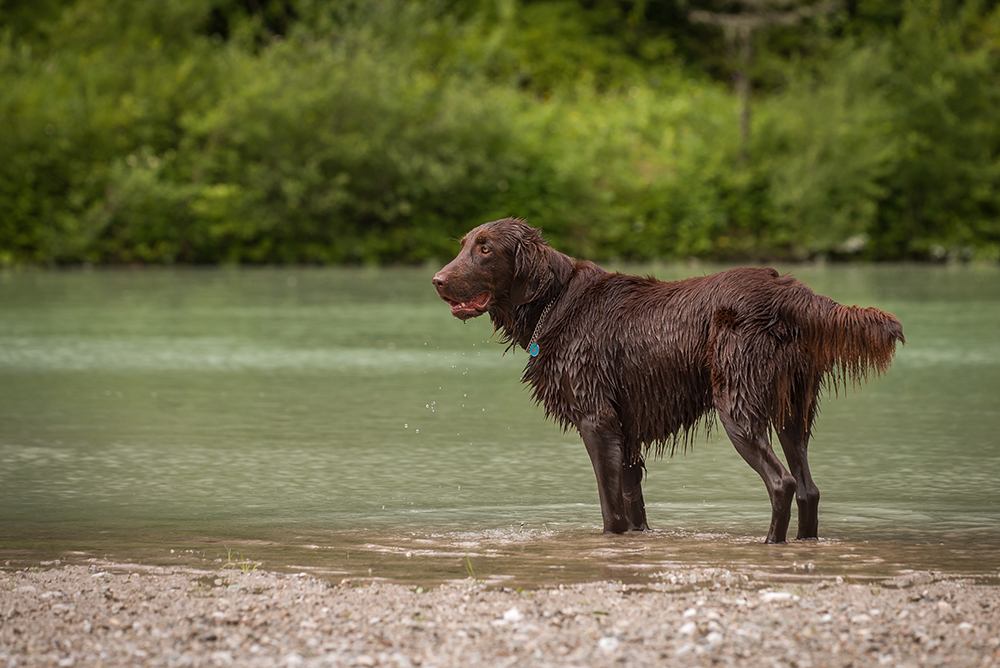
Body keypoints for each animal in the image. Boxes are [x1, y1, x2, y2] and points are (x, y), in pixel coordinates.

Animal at [434, 219, 904, 544]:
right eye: (464, 246)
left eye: (486, 249)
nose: (437, 281)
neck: (554, 301)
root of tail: (790, 291)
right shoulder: (626, 434)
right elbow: (633, 508)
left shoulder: (597, 422)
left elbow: (611, 512)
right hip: (793, 410)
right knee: (808, 489)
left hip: (738, 404)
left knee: (782, 482)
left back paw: (770, 543)